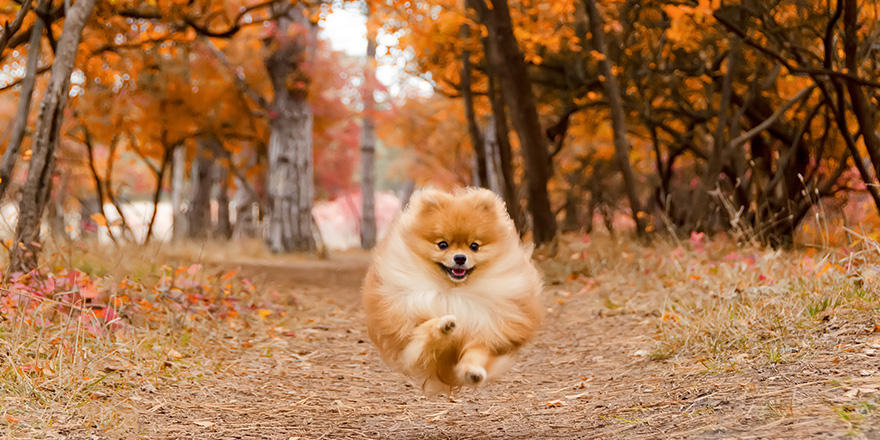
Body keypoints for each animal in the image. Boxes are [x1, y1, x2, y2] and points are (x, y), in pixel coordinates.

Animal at [360, 187, 544, 394]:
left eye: (474, 246)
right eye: (442, 244)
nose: (460, 258)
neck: (453, 291)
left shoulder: (485, 328)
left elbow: (476, 353)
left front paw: (472, 371)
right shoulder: (408, 338)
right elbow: (424, 331)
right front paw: (444, 325)